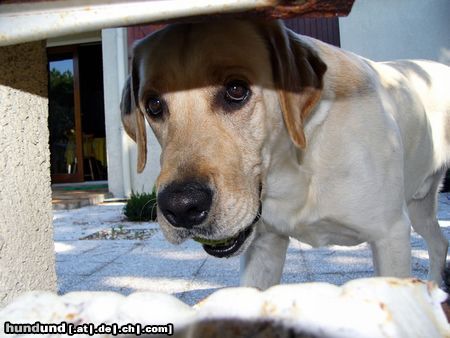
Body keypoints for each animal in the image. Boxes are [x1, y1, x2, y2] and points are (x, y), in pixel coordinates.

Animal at [119, 19, 450, 290]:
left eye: (236, 89)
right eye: (153, 105)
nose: (182, 207)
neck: (296, 167)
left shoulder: (390, 235)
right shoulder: (265, 245)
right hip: (419, 208)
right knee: (439, 244)